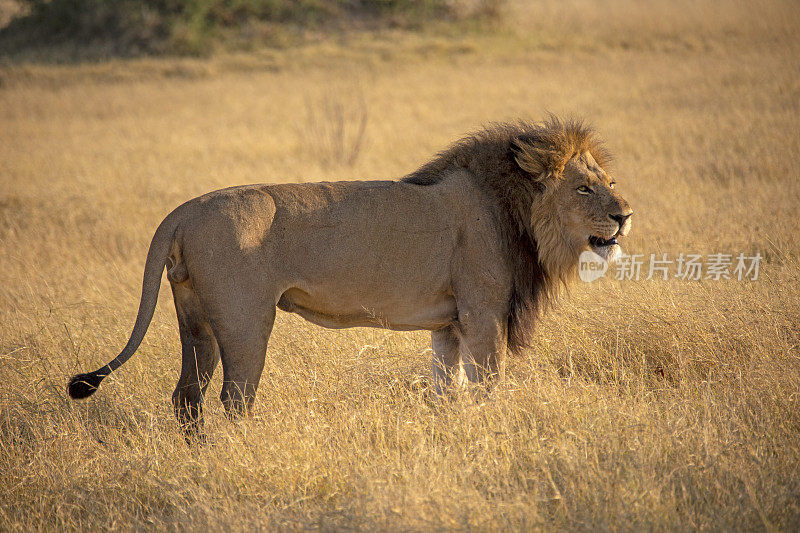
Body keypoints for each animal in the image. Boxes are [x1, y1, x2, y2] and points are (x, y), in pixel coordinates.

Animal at [67, 116, 632, 432]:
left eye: (609, 181)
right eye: (584, 188)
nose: (625, 214)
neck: (513, 209)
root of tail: (182, 210)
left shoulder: (449, 325)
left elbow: (447, 391)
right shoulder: (483, 313)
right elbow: (487, 387)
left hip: (194, 320)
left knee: (187, 396)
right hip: (246, 320)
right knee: (235, 398)